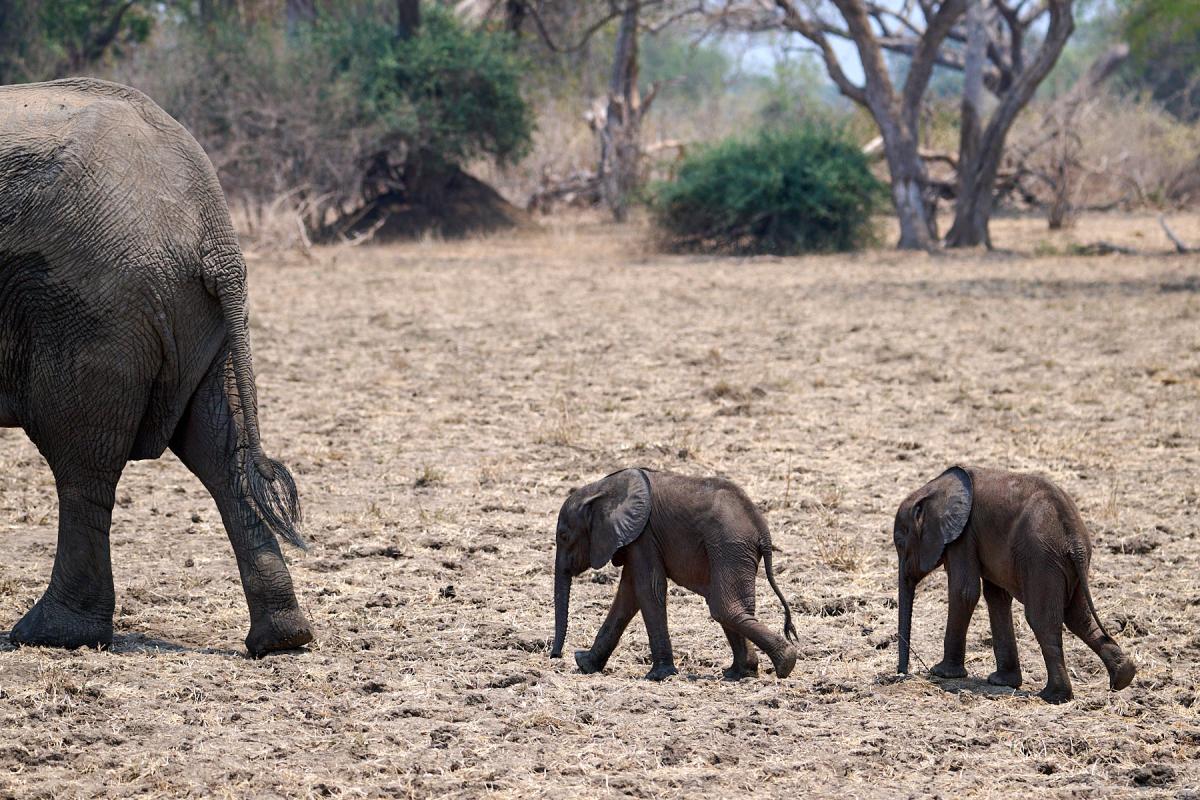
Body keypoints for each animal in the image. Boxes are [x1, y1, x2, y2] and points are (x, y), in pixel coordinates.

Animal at [0, 78, 312, 656]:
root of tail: (213, 230)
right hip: (194, 317)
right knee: (222, 449)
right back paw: (283, 639)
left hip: (92, 308)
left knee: (80, 459)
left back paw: (50, 635)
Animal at [550, 468, 798, 681]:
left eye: (563, 536)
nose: (555, 656)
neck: (602, 489)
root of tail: (762, 529)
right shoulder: (636, 539)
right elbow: (628, 595)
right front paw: (585, 664)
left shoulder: (643, 535)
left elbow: (647, 589)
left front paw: (658, 676)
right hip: (733, 550)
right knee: (731, 607)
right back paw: (741, 673)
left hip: (729, 545)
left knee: (725, 608)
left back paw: (786, 662)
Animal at [894, 466, 1136, 703]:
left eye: (899, 543)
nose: (902, 673)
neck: (933, 488)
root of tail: (1074, 539)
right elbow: (996, 597)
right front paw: (1003, 682)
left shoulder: (963, 536)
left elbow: (964, 592)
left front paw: (941, 673)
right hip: (1068, 564)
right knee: (1078, 618)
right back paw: (1123, 677)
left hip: (1041, 558)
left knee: (1042, 619)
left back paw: (1053, 696)